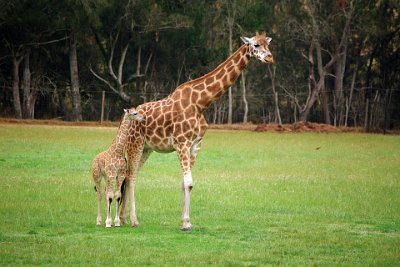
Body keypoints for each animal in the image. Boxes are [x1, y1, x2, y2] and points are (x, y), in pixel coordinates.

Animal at [120, 30, 274, 229]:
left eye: (268, 44)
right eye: (255, 45)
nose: (269, 57)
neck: (201, 103)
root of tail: (125, 117)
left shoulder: (195, 144)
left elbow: (186, 183)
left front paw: (186, 220)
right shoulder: (181, 143)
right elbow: (188, 182)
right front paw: (186, 224)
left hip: (147, 148)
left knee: (129, 175)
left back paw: (122, 218)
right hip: (135, 144)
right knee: (131, 177)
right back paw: (133, 220)